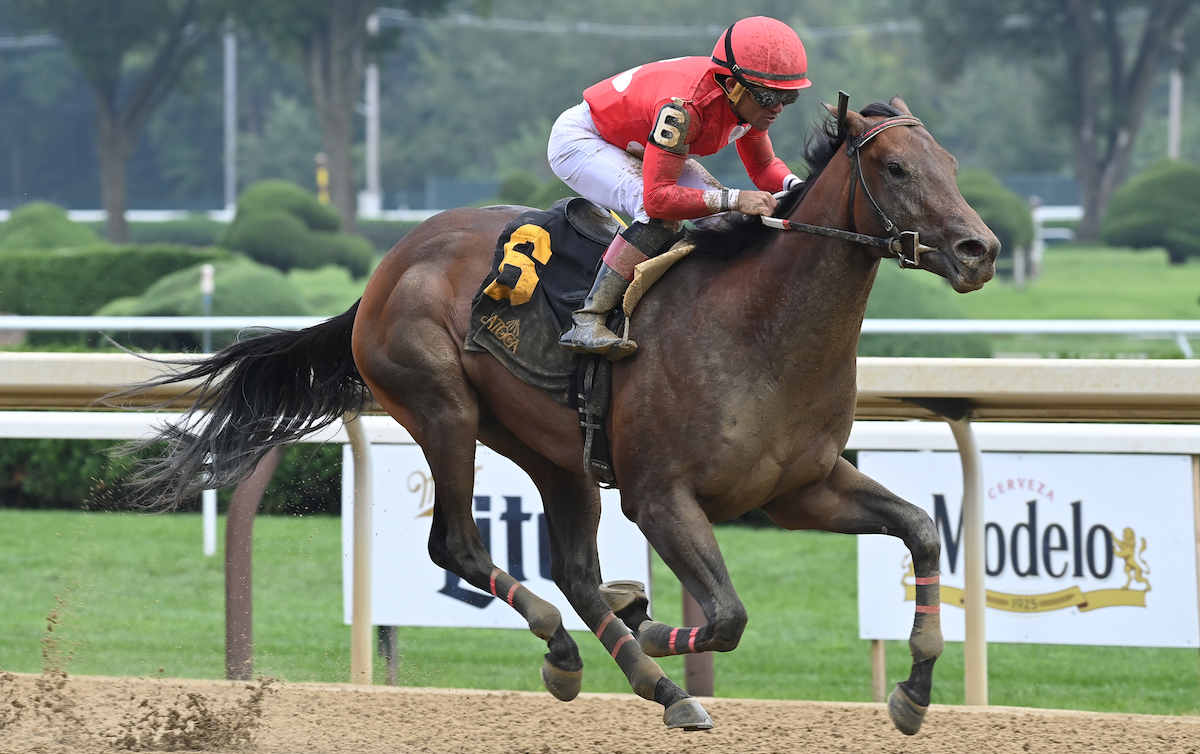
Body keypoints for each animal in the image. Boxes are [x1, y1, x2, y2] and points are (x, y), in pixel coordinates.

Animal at [126, 97, 998, 734]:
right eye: (896, 166)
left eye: (953, 165)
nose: (980, 249)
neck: (760, 329)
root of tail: (386, 268)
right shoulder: (661, 498)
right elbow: (726, 615)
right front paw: (656, 624)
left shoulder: (801, 489)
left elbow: (922, 529)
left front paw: (915, 691)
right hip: (442, 407)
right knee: (458, 545)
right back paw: (593, 651)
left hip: (552, 450)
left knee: (574, 570)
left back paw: (643, 672)